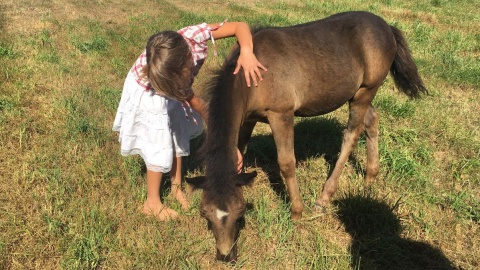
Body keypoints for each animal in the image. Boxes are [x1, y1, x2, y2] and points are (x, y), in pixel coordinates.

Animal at [186, 11, 426, 262]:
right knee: (371, 121)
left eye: (240, 212)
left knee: (351, 134)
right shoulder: (248, 119)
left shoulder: (281, 115)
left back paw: (324, 198)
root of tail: (387, 27)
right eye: (205, 213)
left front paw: (296, 213)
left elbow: (286, 163)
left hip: (366, 91)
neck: (253, 73)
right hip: (357, 93)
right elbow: (239, 155)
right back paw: (370, 177)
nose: (225, 255)